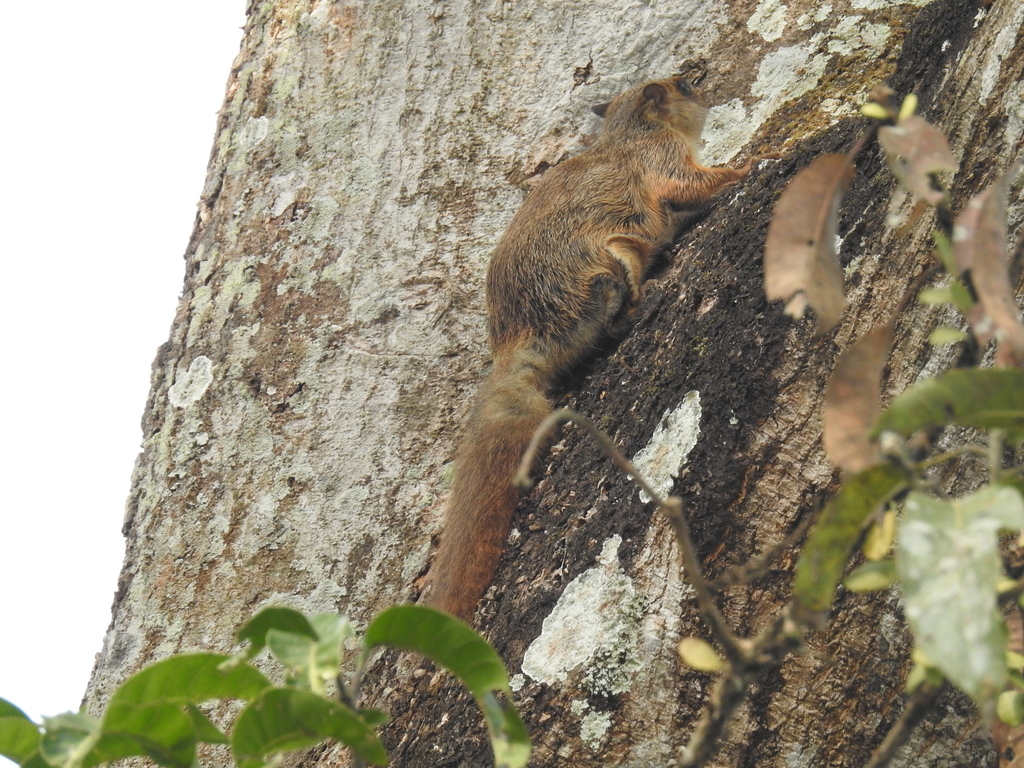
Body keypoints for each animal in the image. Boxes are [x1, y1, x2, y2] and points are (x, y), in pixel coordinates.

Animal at [426, 76, 766, 621]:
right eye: (683, 85)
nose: (704, 87)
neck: (628, 131)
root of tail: (517, 345)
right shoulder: (660, 160)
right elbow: (690, 184)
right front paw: (746, 165)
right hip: (607, 270)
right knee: (611, 322)